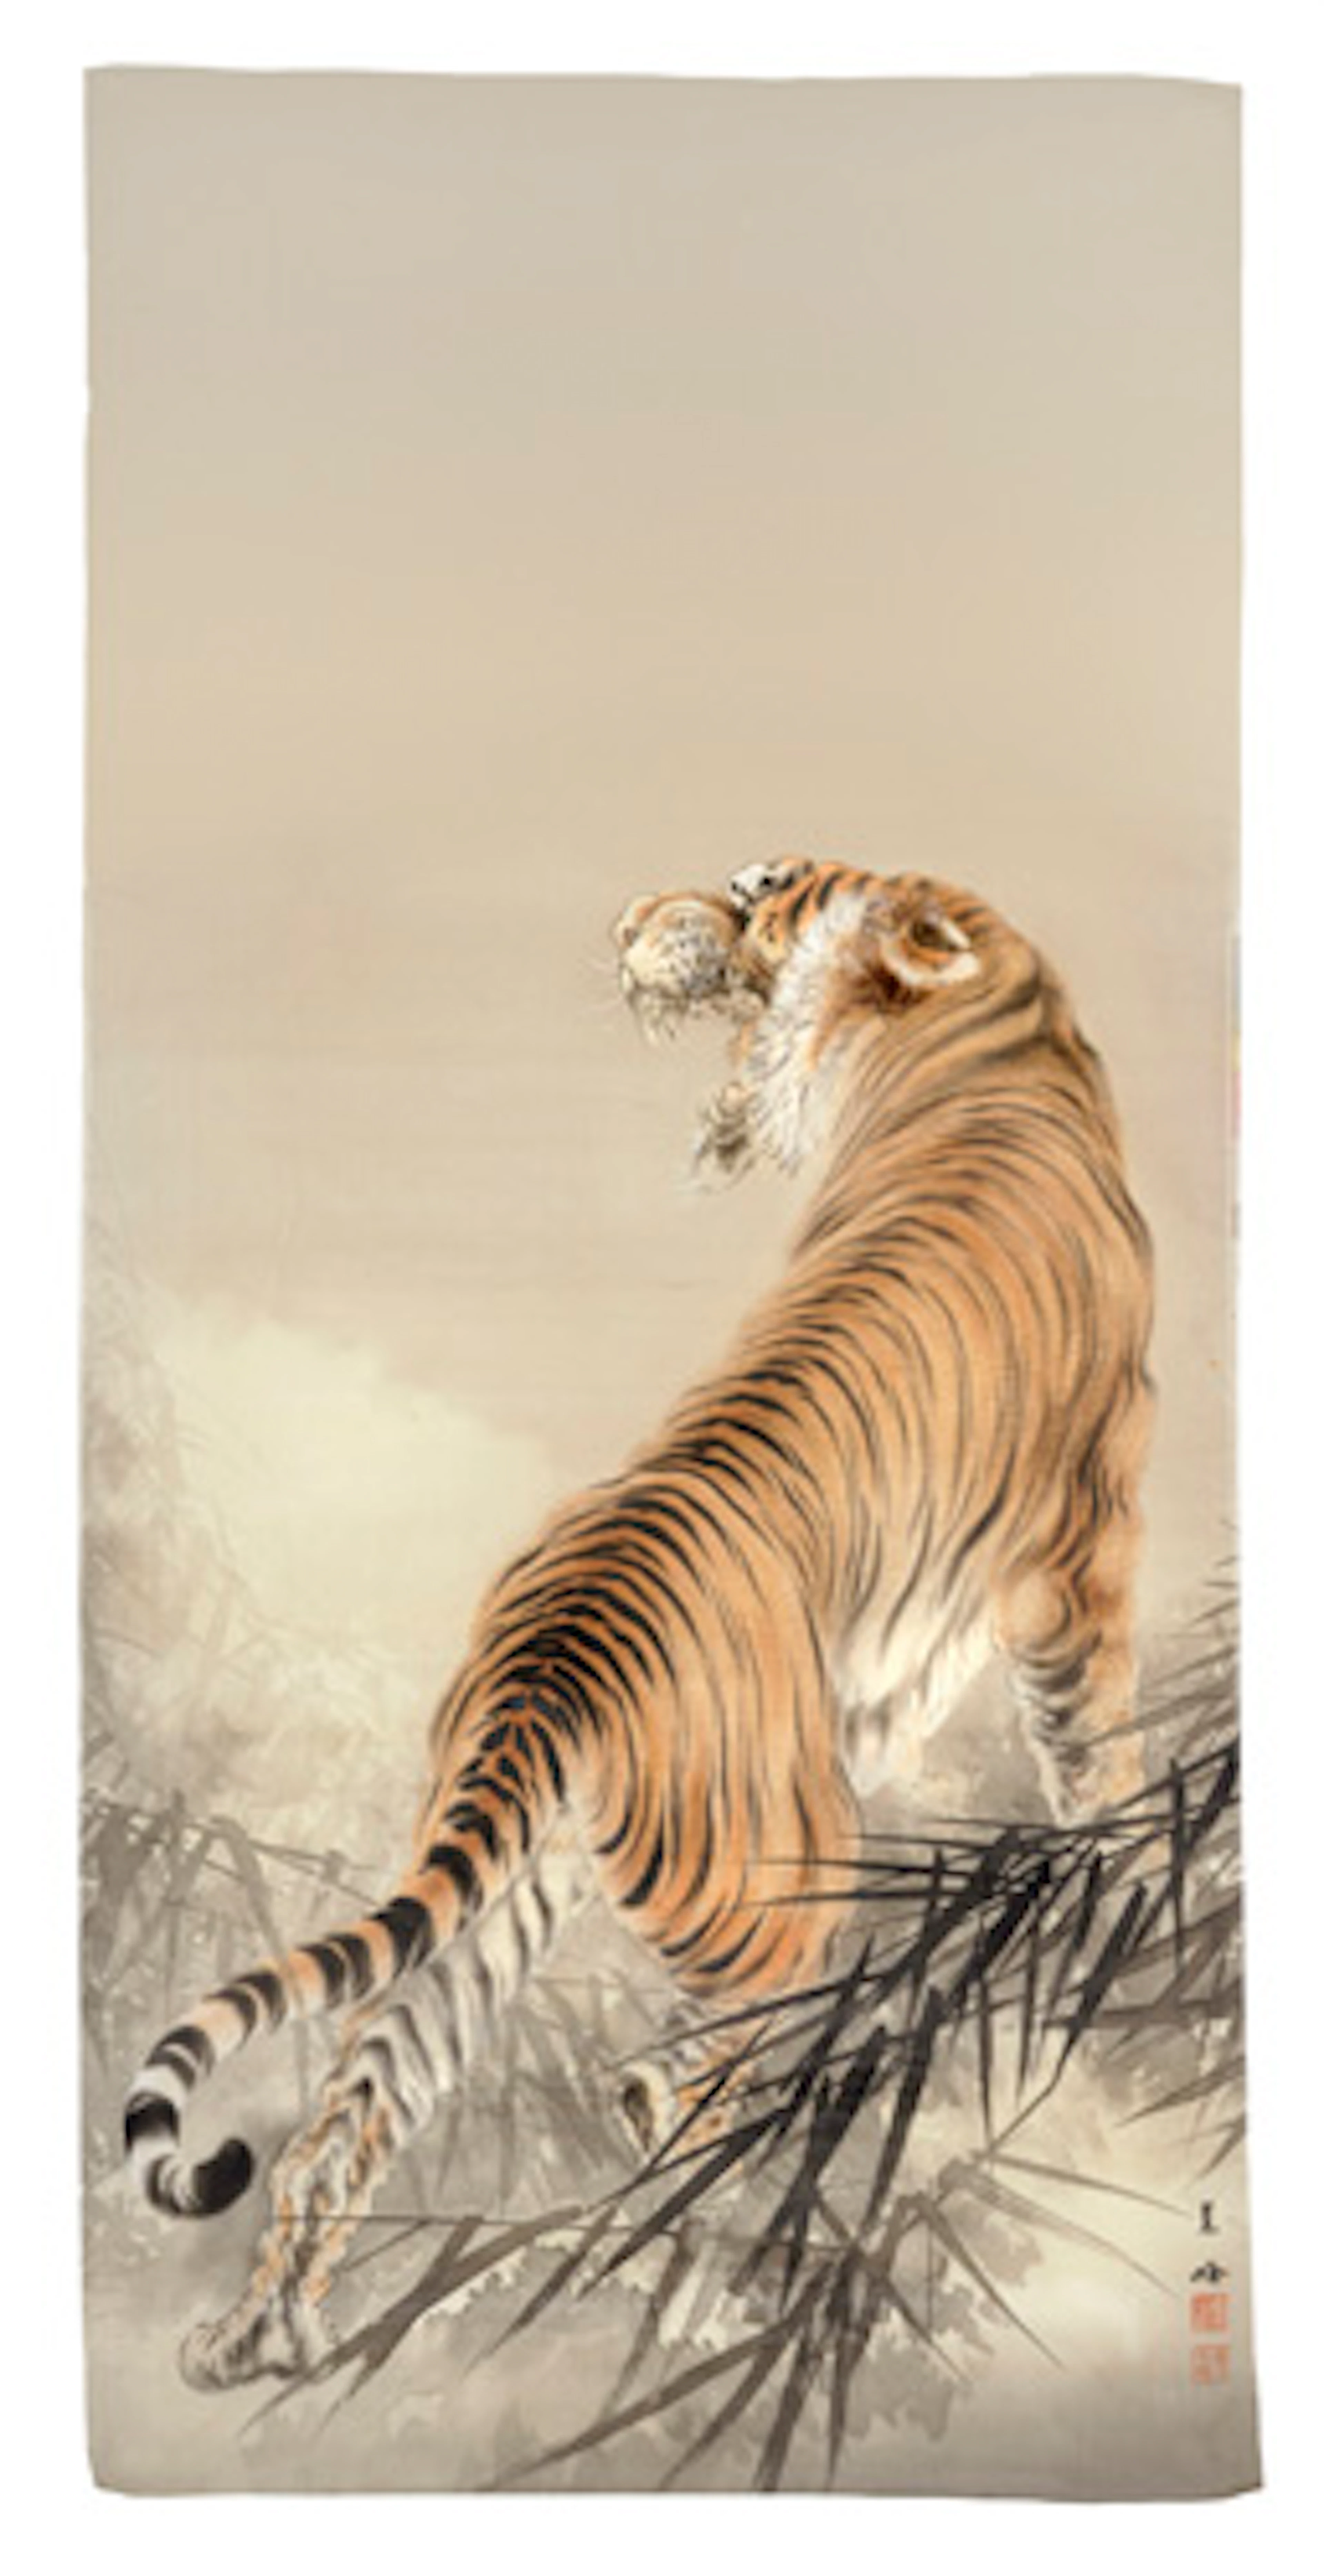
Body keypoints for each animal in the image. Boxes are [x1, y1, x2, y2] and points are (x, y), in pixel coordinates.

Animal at [123, 854, 1153, 2391]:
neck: (995, 1039)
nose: (625, 926)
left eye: (756, 884)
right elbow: (1097, 1742)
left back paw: (269, 2335)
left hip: (494, 1899)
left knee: (342, 2120)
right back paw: (694, 2276)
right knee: (707, 2101)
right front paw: (1130, 1869)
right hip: (782, 1882)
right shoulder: (1083, 1550)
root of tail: (557, 1636)